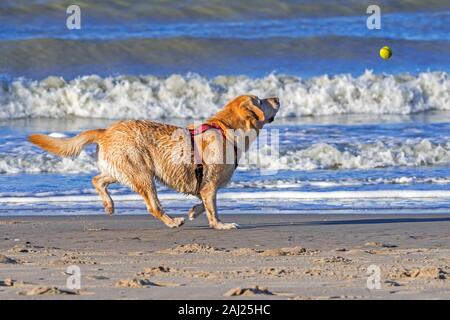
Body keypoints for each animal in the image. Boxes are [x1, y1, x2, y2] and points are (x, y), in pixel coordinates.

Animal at [28, 95, 280, 230]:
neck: (226, 129)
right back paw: (172, 222)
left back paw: (109, 205)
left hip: (123, 169)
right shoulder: (209, 185)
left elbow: (203, 202)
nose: (277, 98)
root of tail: (106, 130)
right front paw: (220, 224)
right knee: (153, 206)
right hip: (142, 174)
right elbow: (213, 208)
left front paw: (193, 212)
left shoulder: (206, 185)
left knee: (97, 179)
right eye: (261, 100)